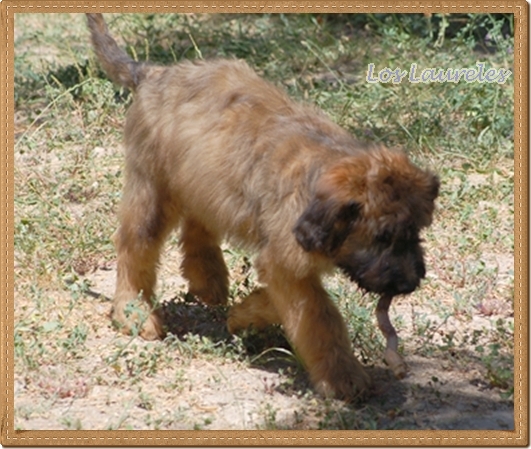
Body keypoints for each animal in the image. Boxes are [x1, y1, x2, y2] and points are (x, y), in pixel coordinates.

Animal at [86, 14, 436, 400]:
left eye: (416, 232)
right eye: (382, 236)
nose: (410, 283)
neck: (321, 169)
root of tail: (153, 73)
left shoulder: (284, 261)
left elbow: (283, 300)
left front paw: (244, 314)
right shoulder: (286, 260)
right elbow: (319, 315)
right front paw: (343, 376)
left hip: (205, 177)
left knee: (197, 224)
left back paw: (208, 278)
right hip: (153, 190)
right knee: (136, 246)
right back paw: (133, 310)